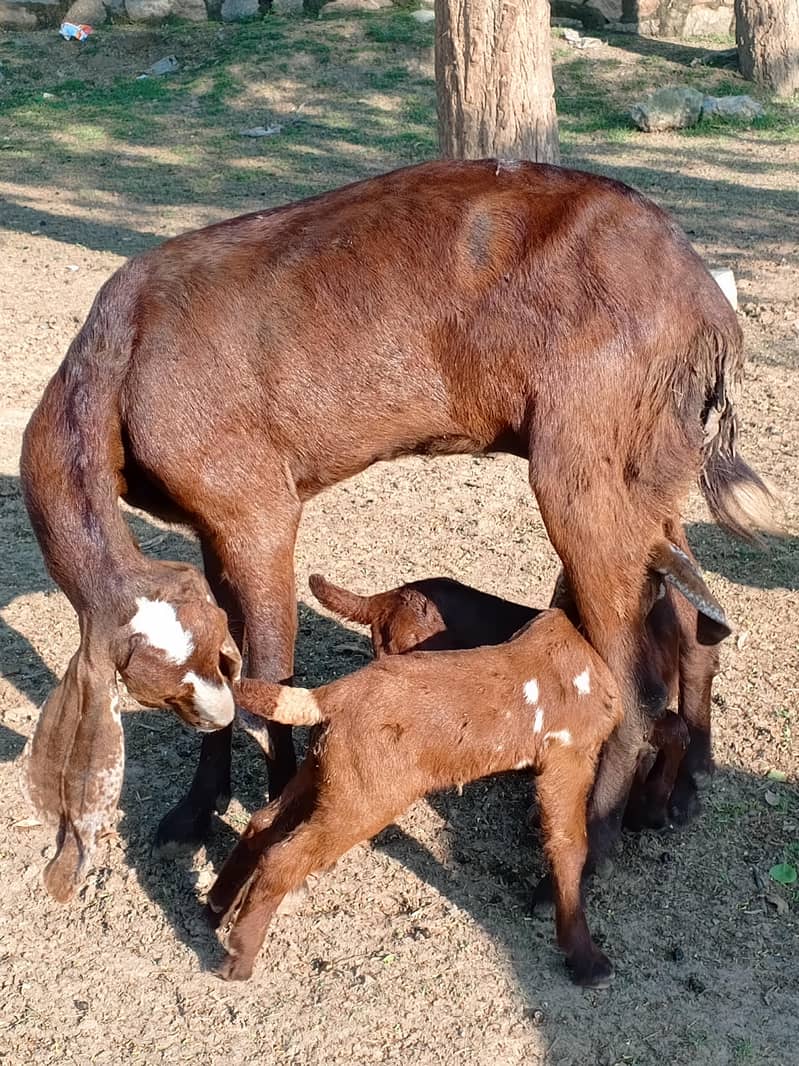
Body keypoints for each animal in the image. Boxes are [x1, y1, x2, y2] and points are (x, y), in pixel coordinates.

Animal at [19, 158, 776, 899]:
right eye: (162, 690)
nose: (208, 712)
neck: (119, 361)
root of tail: (707, 301)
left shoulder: (254, 507)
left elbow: (270, 673)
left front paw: (269, 821)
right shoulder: (208, 527)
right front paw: (192, 813)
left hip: (585, 458)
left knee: (634, 679)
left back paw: (587, 859)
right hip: (653, 461)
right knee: (694, 615)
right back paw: (679, 793)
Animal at [209, 609, 624, 986]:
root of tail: (328, 697)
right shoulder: (570, 754)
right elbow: (569, 845)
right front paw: (589, 962)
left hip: (323, 774)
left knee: (263, 822)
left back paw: (217, 905)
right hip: (365, 797)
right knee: (284, 857)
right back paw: (238, 959)